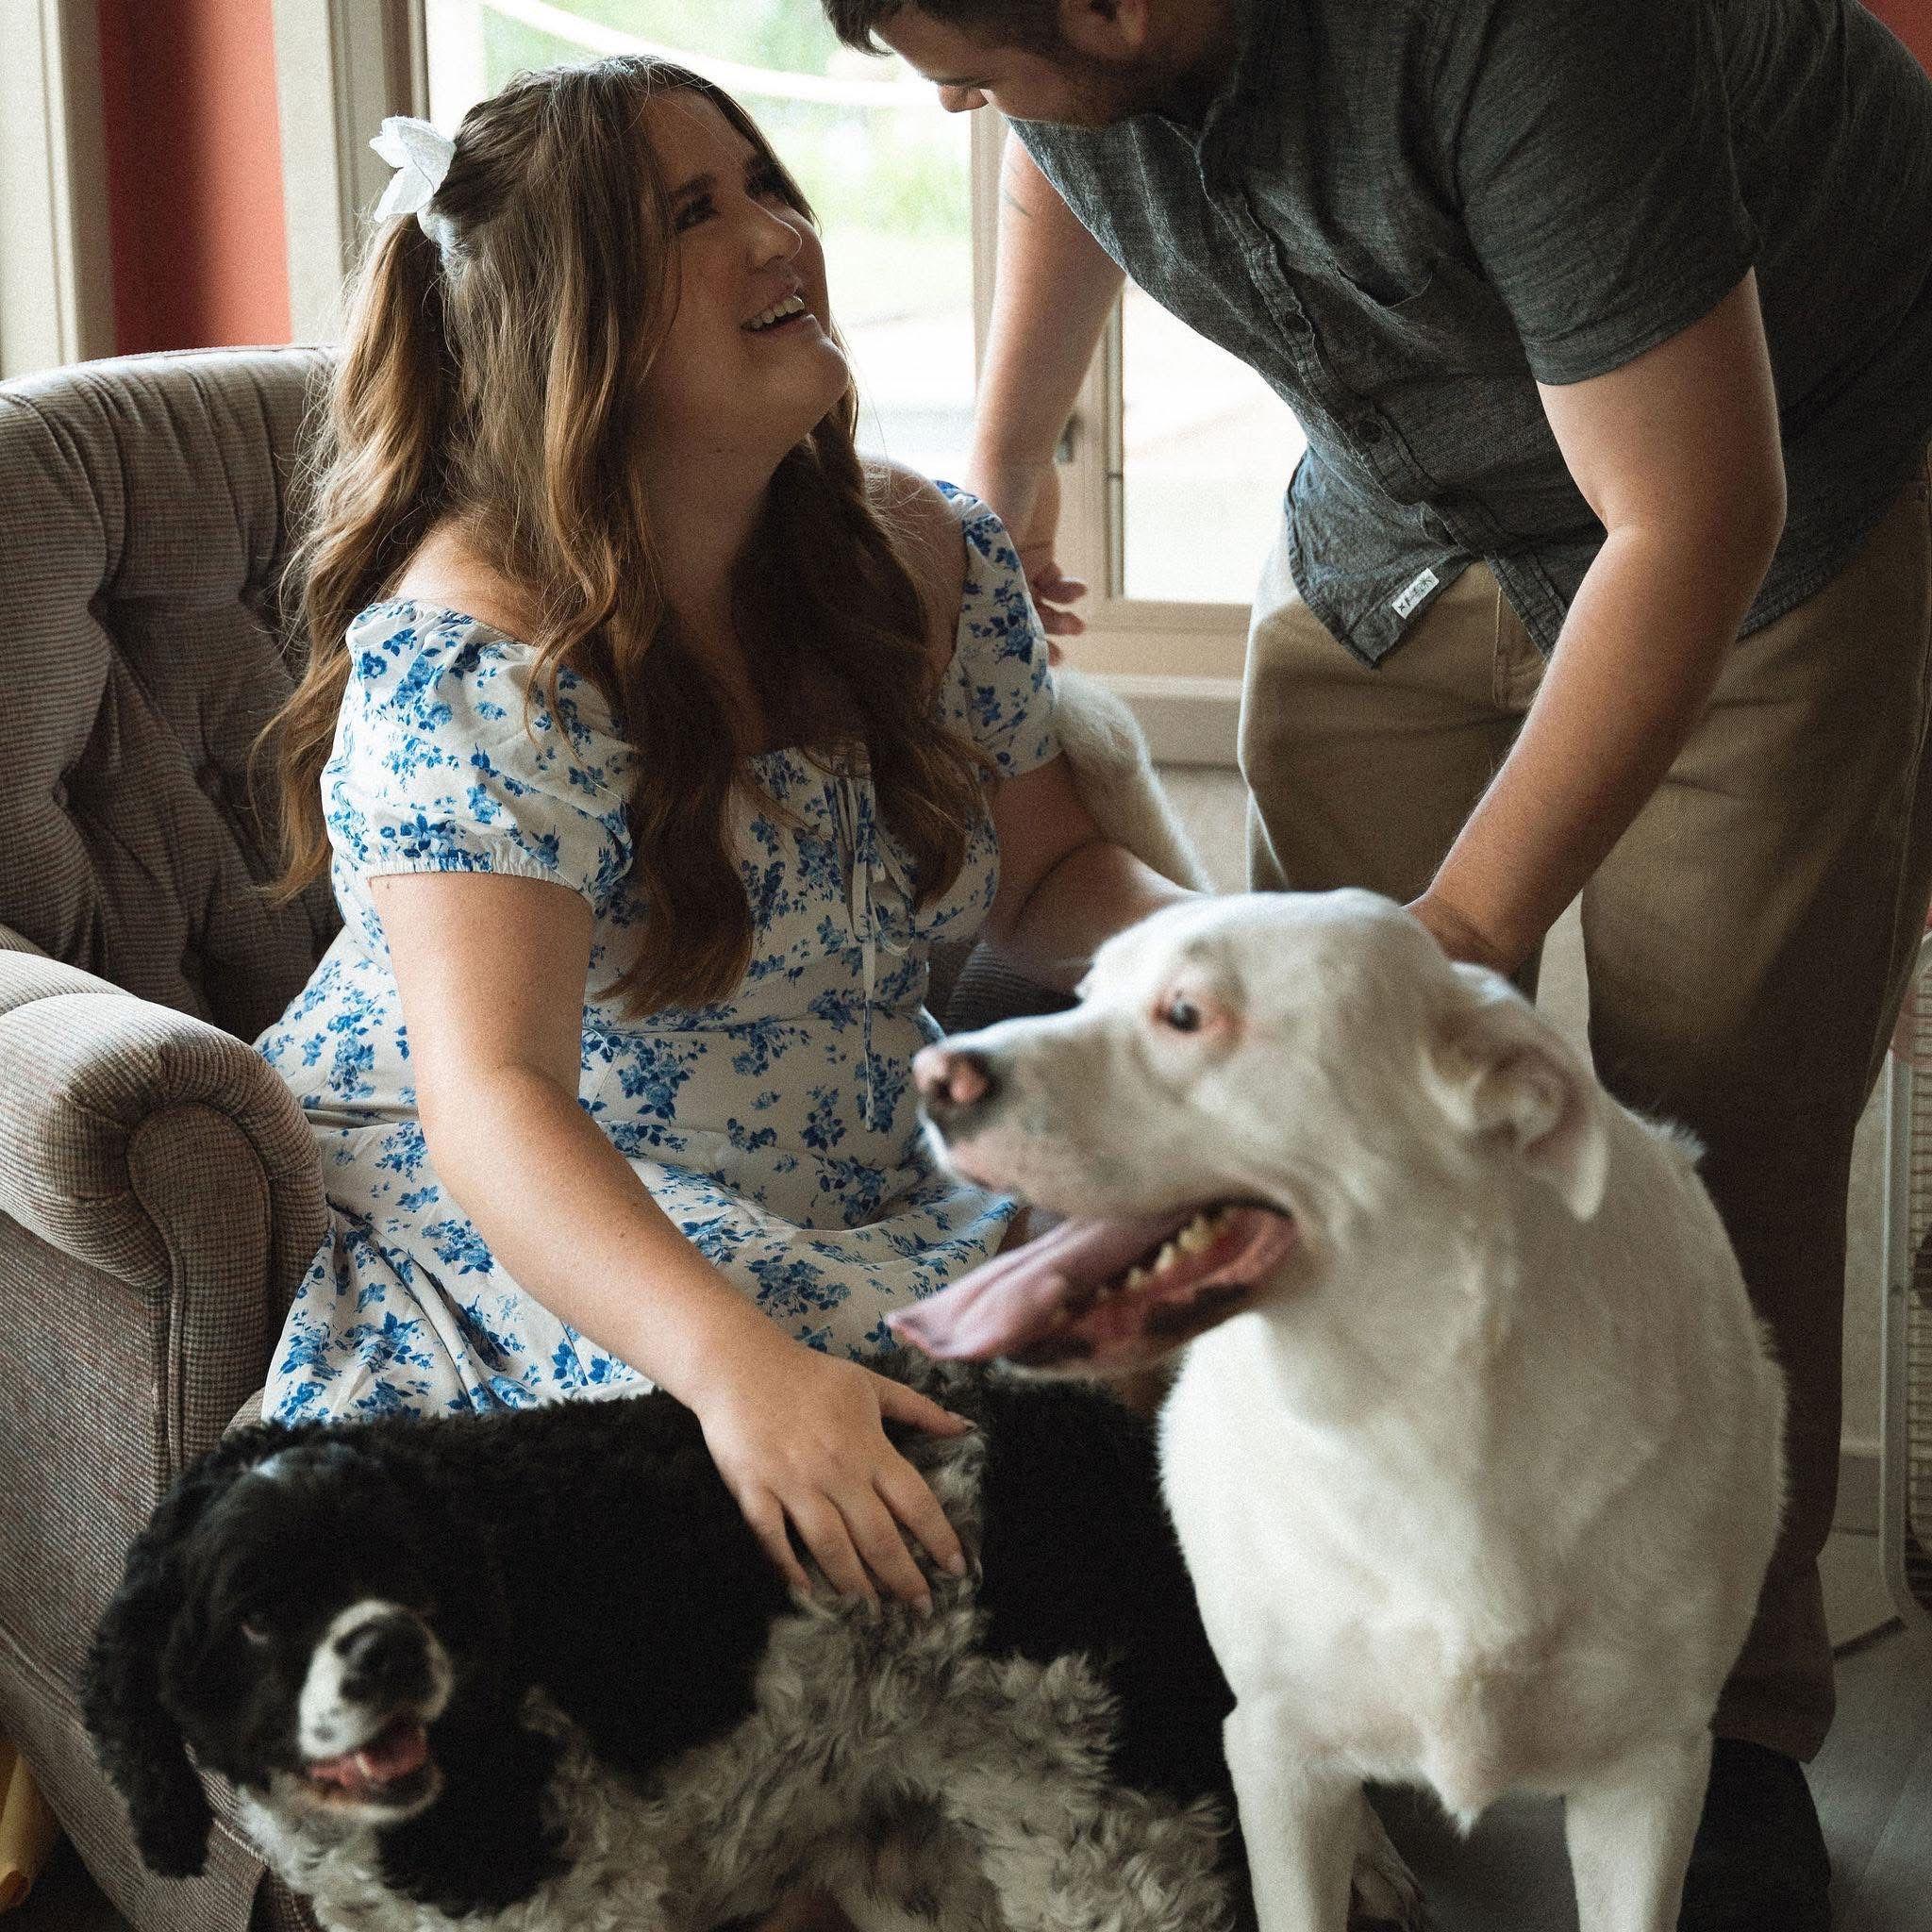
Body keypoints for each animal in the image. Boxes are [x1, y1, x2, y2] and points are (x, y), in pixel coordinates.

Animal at [83, 1353, 1427, 1932]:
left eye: (410, 1572)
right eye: (256, 1612)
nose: (385, 1653)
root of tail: (1120, 1452)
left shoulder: (570, 1902)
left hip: (1107, 1841)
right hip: (929, 1860)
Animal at [895, 889, 1787, 1932]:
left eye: (1186, 1013)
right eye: (1083, 996)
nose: (931, 1075)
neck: (1416, 1416)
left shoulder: (1649, 1773)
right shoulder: (1280, 1756)